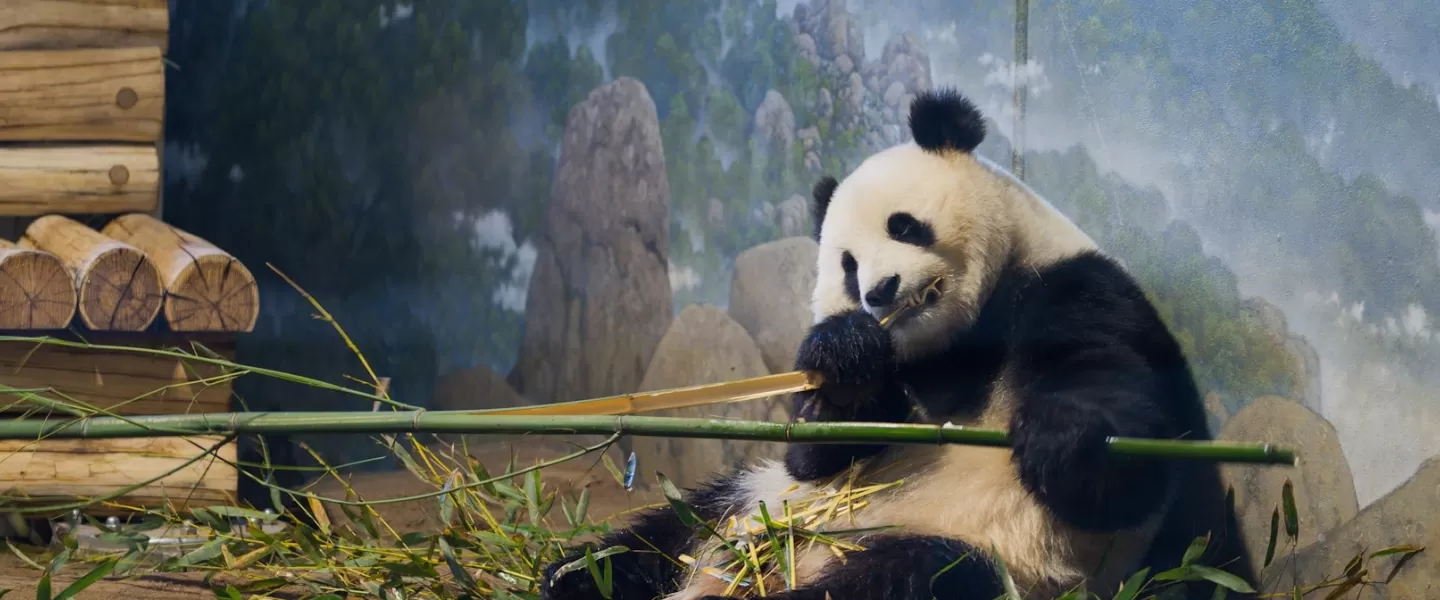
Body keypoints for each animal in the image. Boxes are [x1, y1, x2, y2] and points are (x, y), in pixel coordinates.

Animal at [540, 88, 1250, 600]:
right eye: (847, 266)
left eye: (904, 225)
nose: (879, 292)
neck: (959, 339)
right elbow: (818, 446)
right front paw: (845, 357)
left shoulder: (1080, 288)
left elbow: (1121, 450)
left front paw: (1061, 437)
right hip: (758, 501)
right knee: (667, 532)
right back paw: (571, 575)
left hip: (979, 556)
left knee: (907, 577)